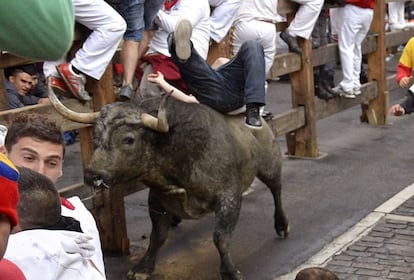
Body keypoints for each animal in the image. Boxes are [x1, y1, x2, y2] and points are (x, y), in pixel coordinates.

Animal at [47, 86, 288, 280]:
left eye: (128, 139)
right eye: (96, 136)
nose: (92, 175)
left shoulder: (228, 197)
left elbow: (220, 238)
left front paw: (229, 272)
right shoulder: (157, 198)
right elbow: (158, 236)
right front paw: (143, 267)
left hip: (270, 165)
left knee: (276, 189)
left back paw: (282, 225)